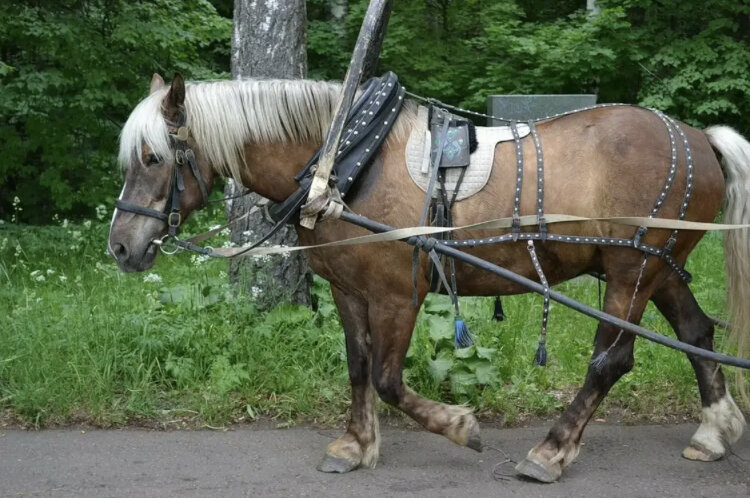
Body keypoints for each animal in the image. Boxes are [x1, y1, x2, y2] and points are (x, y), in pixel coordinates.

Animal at [108, 73, 748, 482]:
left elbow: (390, 380)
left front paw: (460, 425)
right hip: (658, 268)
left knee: (610, 362)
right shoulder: (349, 291)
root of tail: (700, 138)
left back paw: (550, 451)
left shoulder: (399, 294)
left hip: (631, 272)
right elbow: (359, 365)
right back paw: (715, 431)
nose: (121, 246)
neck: (343, 165)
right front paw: (355, 444)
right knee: (696, 334)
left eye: (152, 158)